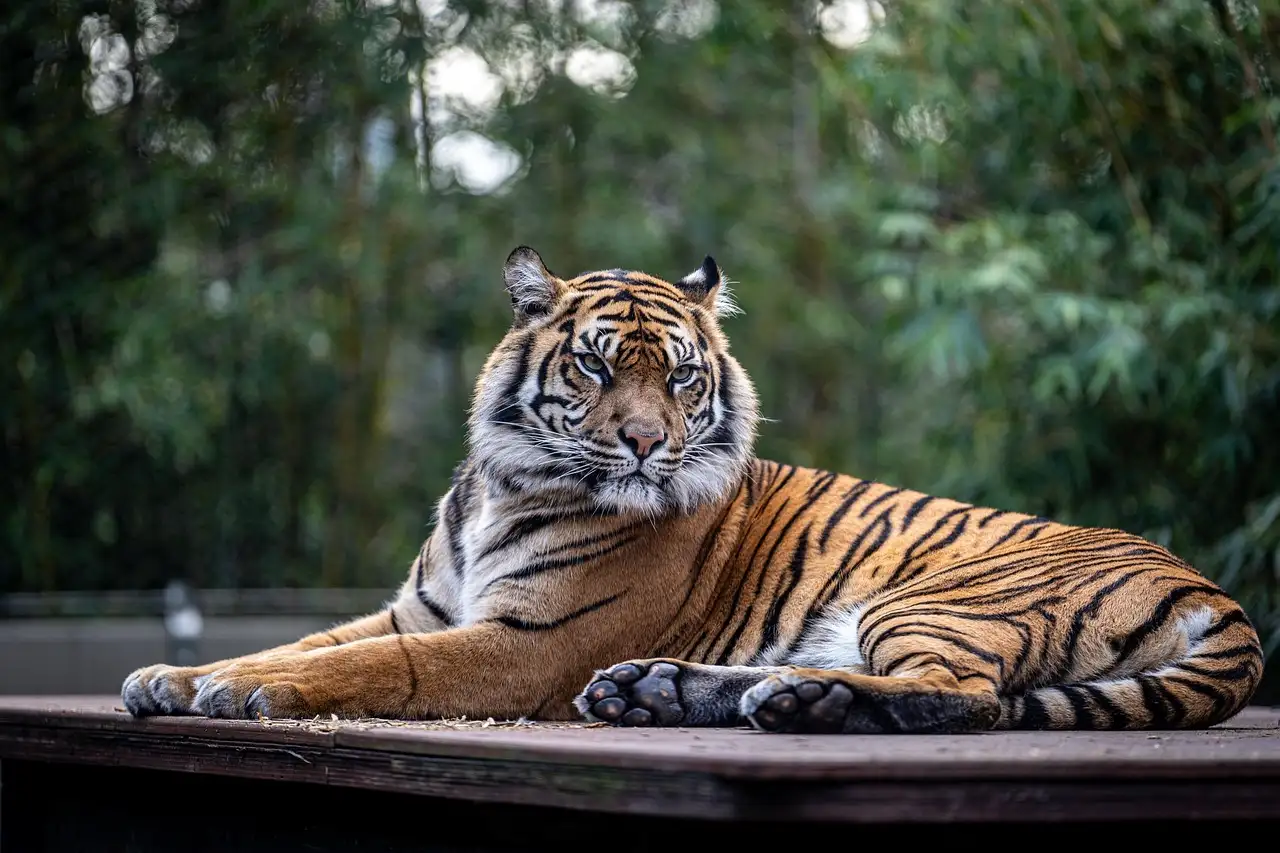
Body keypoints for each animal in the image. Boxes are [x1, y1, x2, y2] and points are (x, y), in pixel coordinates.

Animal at [122, 246, 1264, 733]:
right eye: (593, 366)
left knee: (969, 697)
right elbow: (310, 642)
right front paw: (176, 677)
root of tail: (1220, 598)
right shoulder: (421, 607)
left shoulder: (522, 641)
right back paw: (667, 690)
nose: (641, 444)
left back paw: (793, 705)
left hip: (933, 598)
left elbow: (369, 667)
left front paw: (236, 692)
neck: (504, 484)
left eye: (678, 378)